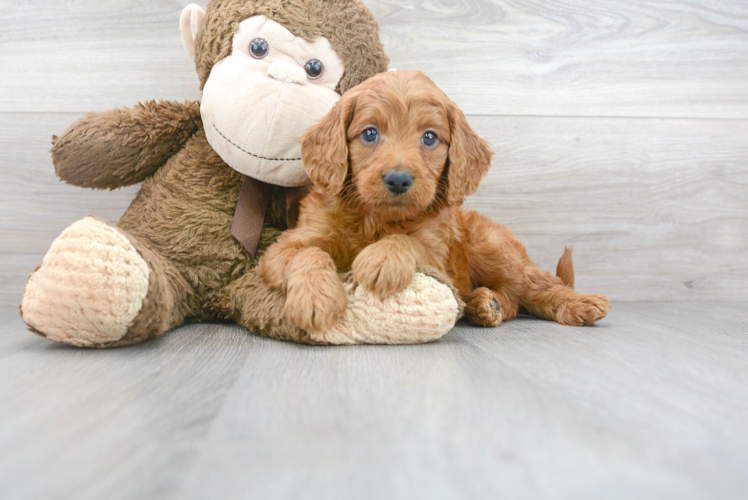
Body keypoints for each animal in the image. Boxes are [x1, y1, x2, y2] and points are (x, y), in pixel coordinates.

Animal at [260, 70, 612, 334]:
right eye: (370, 133)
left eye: (429, 137)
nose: (398, 179)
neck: (375, 220)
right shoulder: (287, 245)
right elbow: (309, 252)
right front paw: (316, 298)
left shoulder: (438, 256)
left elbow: (407, 240)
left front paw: (381, 260)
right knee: (515, 298)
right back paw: (488, 305)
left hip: (492, 249)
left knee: (538, 285)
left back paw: (579, 304)